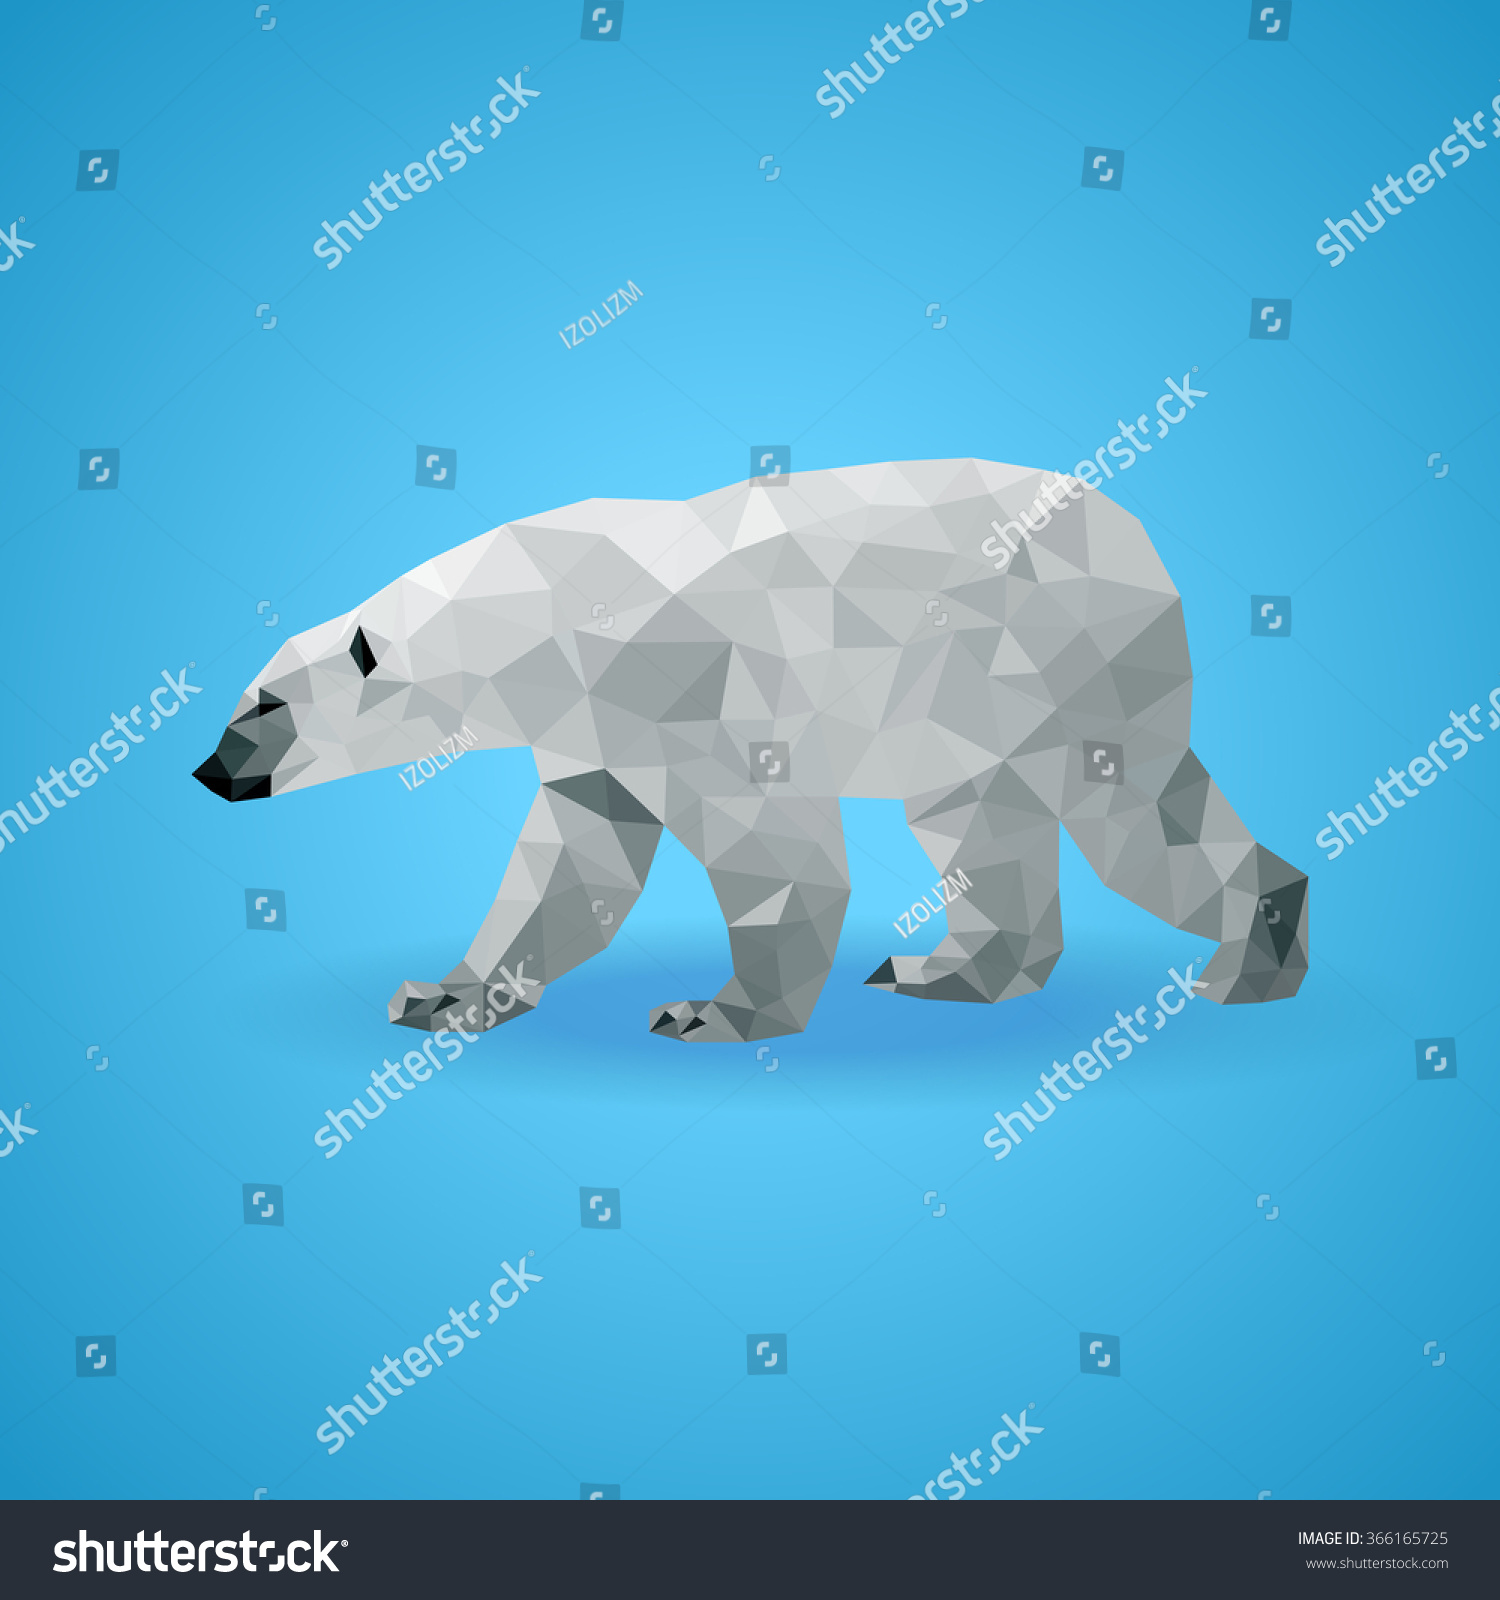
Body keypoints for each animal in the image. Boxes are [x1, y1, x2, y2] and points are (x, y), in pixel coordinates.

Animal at [194, 457, 1308, 1043]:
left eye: (265, 707)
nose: (215, 773)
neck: (545, 610)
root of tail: (1137, 539)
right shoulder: (587, 736)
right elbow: (575, 864)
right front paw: (446, 993)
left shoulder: (687, 683)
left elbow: (773, 847)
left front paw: (715, 1010)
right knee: (978, 819)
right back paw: (948, 969)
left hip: (1056, 669)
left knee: (1127, 815)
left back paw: (1249, 959)